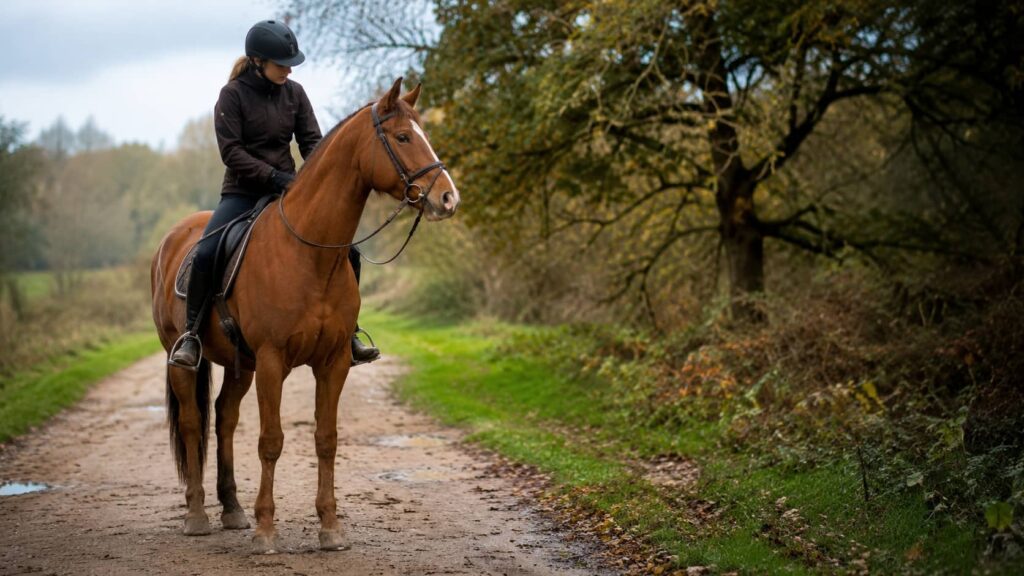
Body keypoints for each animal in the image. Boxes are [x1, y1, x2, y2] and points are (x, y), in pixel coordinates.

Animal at [150, 78, 460, 553]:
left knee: (224, 418)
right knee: (191, 423)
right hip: (183, 358)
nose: (448, 198)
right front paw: (266, 530)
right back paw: (198, 515)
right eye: (404, 137)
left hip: (241, 365)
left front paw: (330, 527)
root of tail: (172, 239)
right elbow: (271, 441)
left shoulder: (333, 362)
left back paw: (232, 509)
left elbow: (326, 439)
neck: (309, 253)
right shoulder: (272, 361)